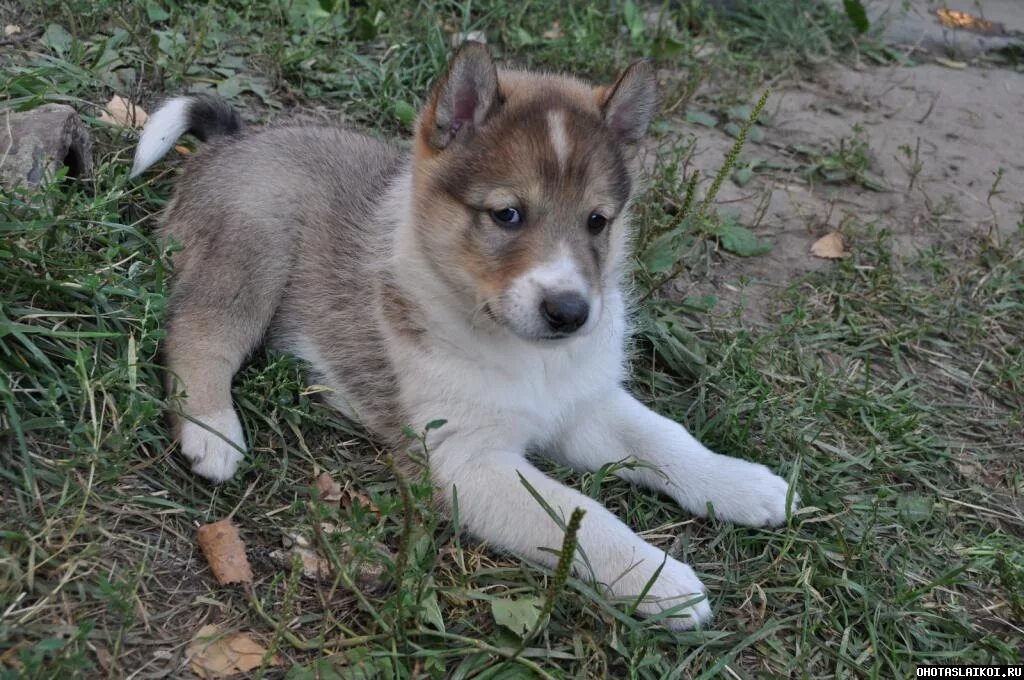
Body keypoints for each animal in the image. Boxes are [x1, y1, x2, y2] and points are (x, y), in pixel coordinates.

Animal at [132, 42, 794, 630]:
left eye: (597, 222)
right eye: (507, 214)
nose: (570, 312)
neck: (526, 357)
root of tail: (237, 137)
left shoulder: (582, 408)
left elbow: (662, 438)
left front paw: (740, 483)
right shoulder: (466, 461)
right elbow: (579, 513)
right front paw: (659, 579)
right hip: (254, 248)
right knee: (196, 330)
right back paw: (212, 431)